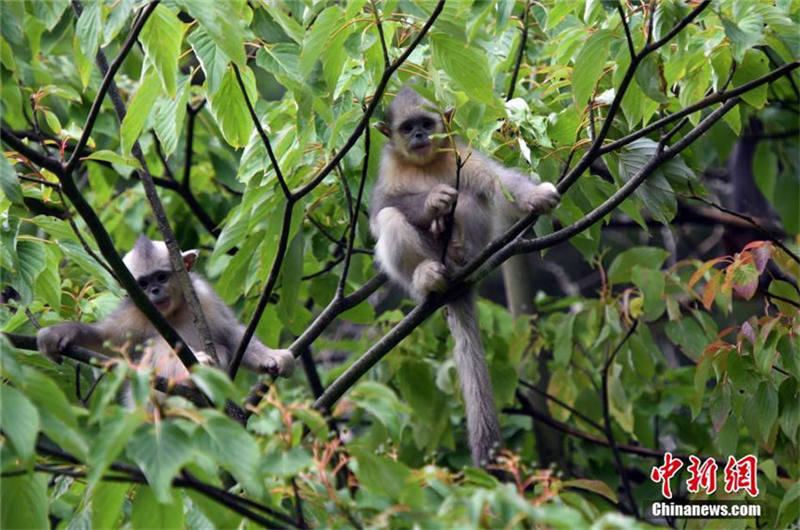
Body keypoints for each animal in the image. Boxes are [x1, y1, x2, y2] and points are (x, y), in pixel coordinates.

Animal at [37, 237, 294, 382]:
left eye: (161, 277)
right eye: (142, 284)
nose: (154, 291)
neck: (173, 313)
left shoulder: (203, 297)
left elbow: (230, 334)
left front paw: (272, 357)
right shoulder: (135, 312)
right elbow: (105, 339)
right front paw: (61, 333)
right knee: (159, 343)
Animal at [370, 87, 564, 466]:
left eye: (427, 123)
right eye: (407, 127)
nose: (420, 136)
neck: (424, 163)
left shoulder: (461, 155)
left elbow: (497, 182)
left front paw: (535, 196)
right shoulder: (388, 170)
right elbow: (380, 209)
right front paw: (433, 201)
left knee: (471, 198)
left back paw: (458, 248)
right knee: (390, 217)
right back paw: (428, 276)